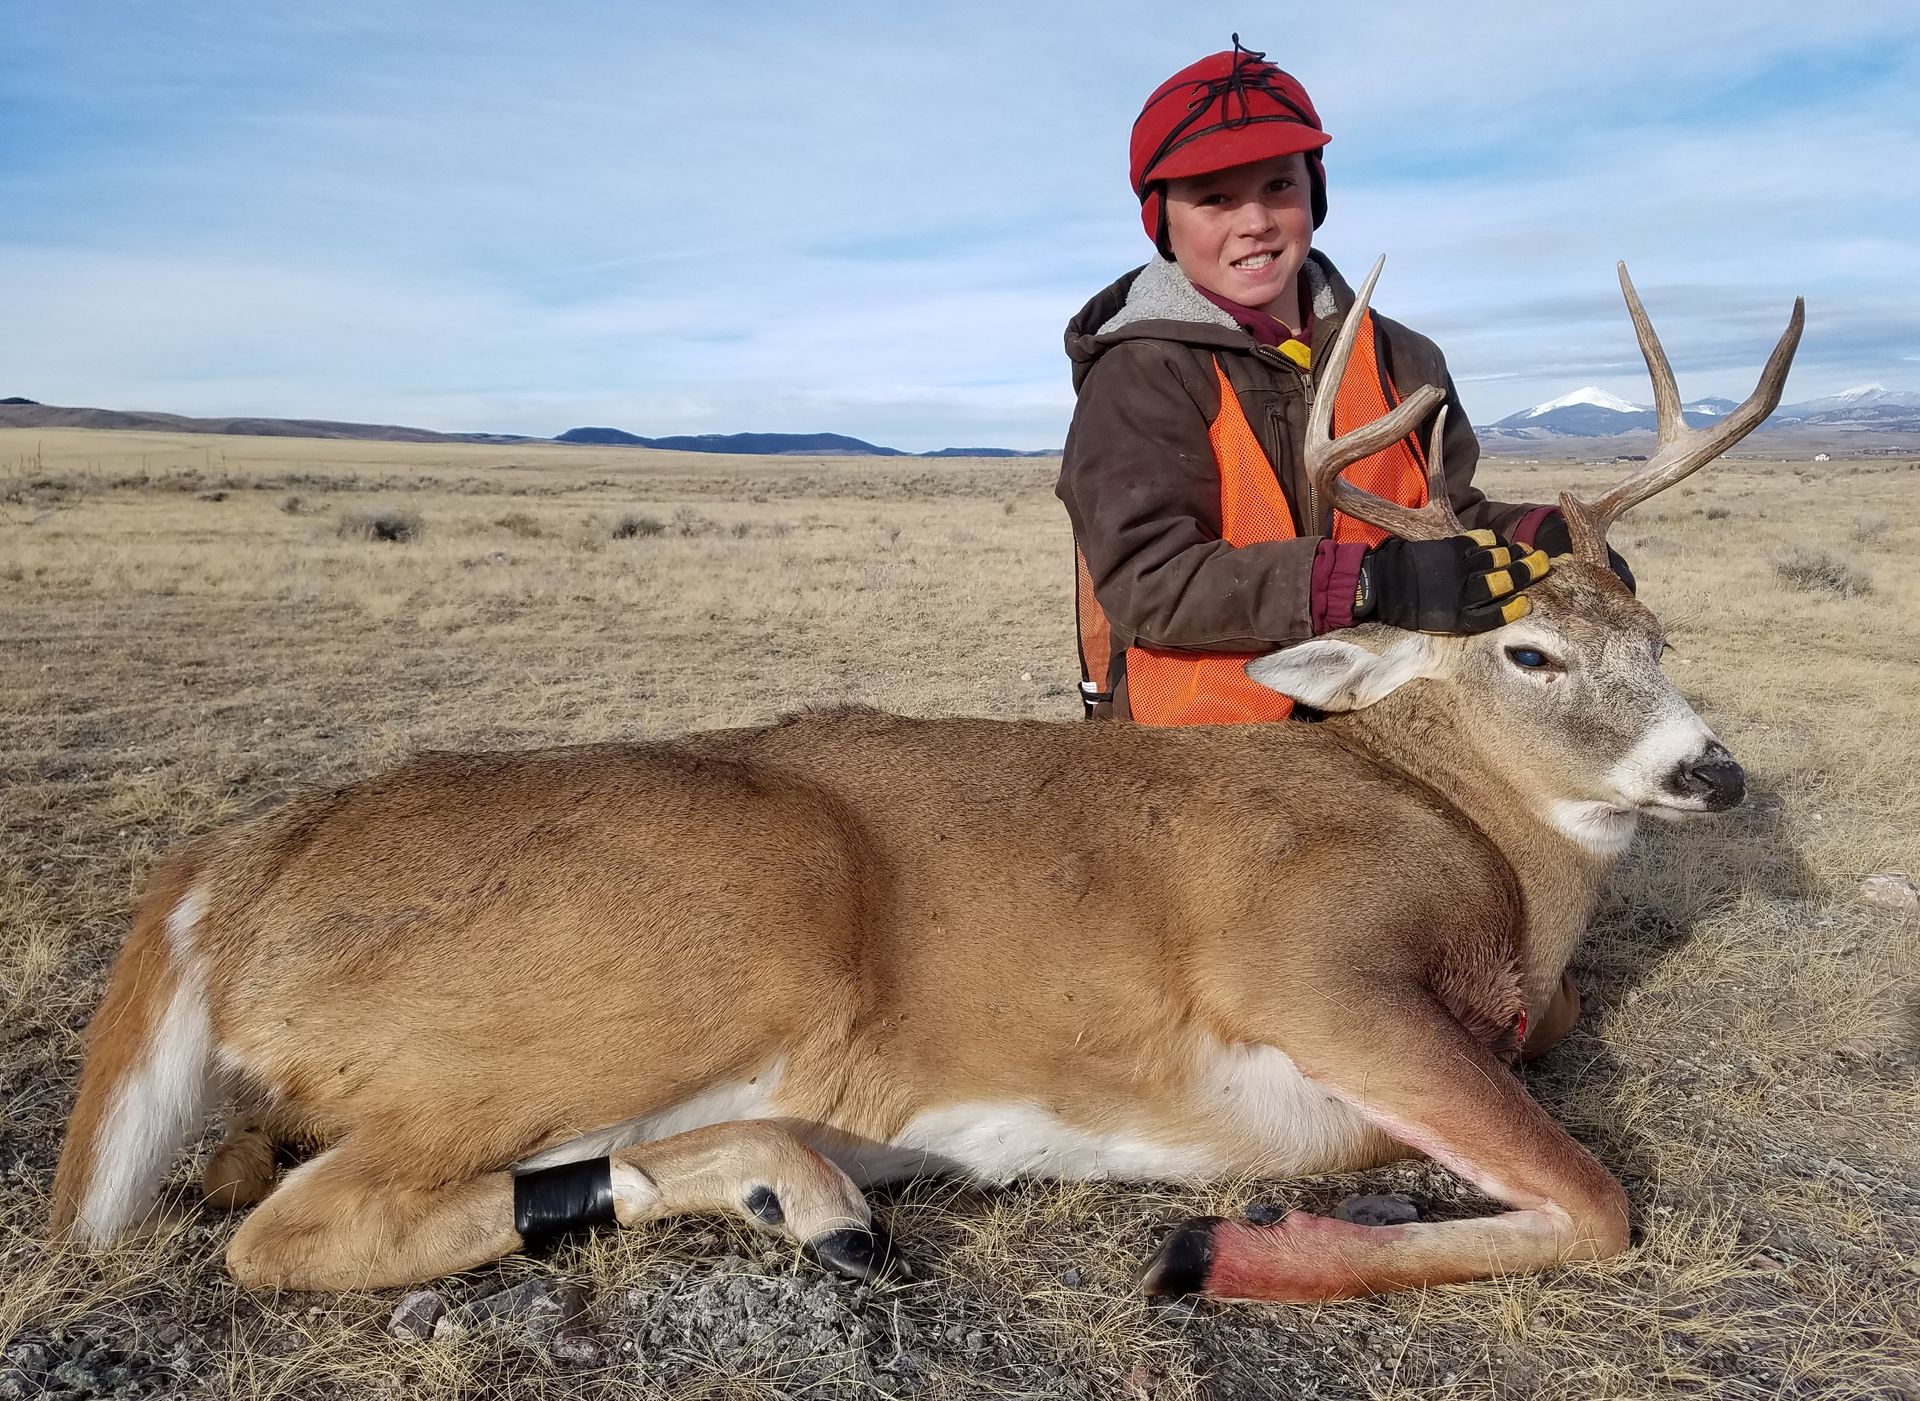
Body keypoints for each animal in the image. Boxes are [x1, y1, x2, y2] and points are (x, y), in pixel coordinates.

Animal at [51, 261, 1803, 1303]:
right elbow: (1594, 1198)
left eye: (1659, 630)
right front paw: (1217, 1241)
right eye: (1529, 653)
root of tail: (218, 874)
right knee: (297, 1228)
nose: (1709, 770)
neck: (1479, 855)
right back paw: (804, 1187)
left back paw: (804, 1189)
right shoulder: (1308, 965)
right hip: (696, 947)